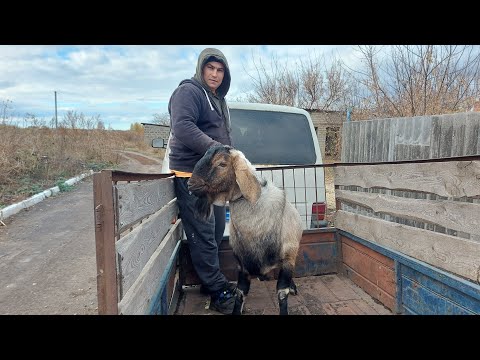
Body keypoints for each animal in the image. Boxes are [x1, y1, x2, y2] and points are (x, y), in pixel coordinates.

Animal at [187, 145, 302, 314]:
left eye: (222, 164)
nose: (190, 185)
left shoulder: (288, 258)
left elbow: (282, 293)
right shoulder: (242, 264)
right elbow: (240, 293)